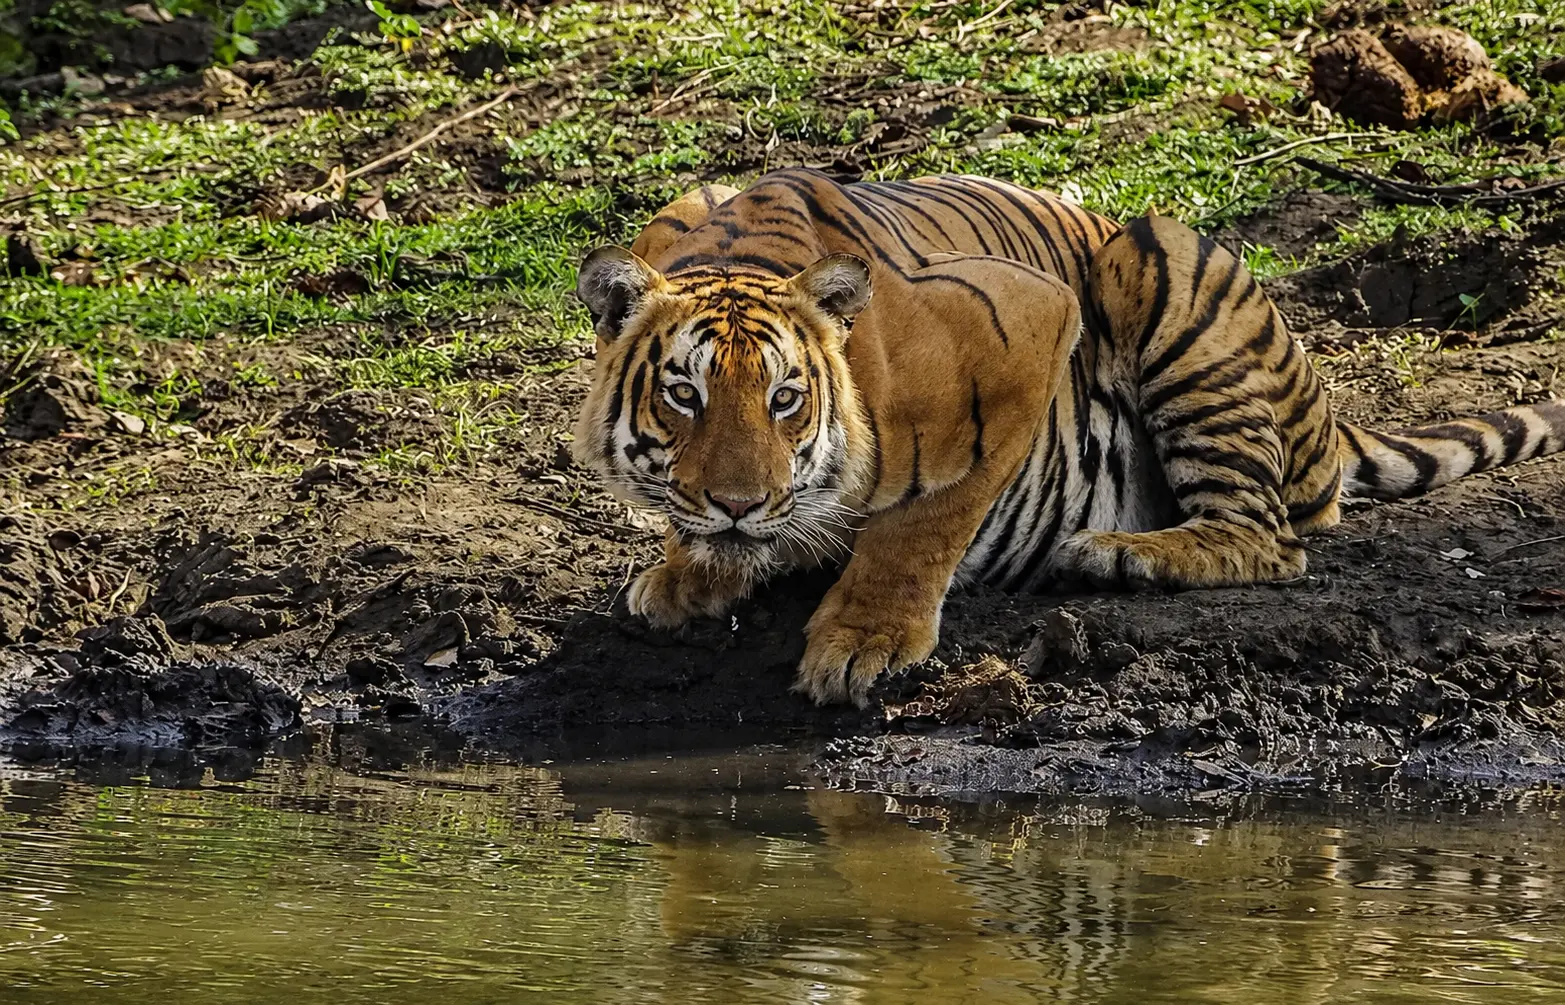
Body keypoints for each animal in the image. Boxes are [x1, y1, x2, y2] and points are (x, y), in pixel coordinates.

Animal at [572, 168, 1565, 707]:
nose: (738, 506)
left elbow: (923, 521)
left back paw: (1116, 552)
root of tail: (1324, 407)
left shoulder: (1028, 325)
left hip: (1158, 263)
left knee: (1271, 537)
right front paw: (686, 571)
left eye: (785, 399)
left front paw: (864, 639)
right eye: (683, 395)